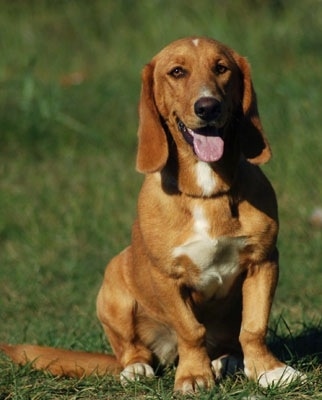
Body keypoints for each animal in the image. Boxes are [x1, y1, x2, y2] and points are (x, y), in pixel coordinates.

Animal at [0, 37, 304, 394]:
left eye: (221, 68)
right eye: (177, 72)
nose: (208, 107)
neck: (206, 191)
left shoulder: (263, 261)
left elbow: (254, 327)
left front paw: (270, 371)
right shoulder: (167, 277)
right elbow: (191, 330)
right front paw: (194, 375)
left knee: (229, 342)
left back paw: (226, 361)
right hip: (113, 282)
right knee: (132, 351)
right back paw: (138, 369)